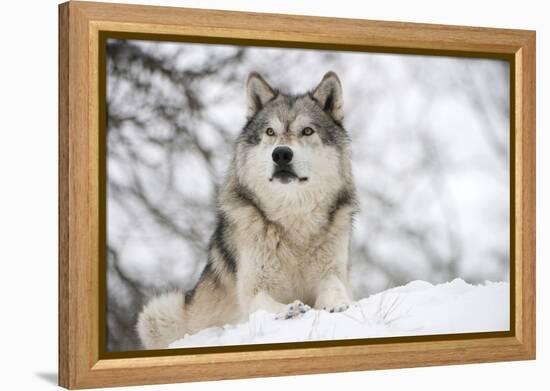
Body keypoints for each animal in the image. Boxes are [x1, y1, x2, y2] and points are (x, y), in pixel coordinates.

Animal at [137, 70, 358, 350]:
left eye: (307, 131)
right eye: (270, 132)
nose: (281, 154)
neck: (292, 222)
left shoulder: (333, 272)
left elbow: (334, 287)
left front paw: (337, 304)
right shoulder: (252, 289)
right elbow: (263, 302)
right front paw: (289, 310)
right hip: (159, 311)